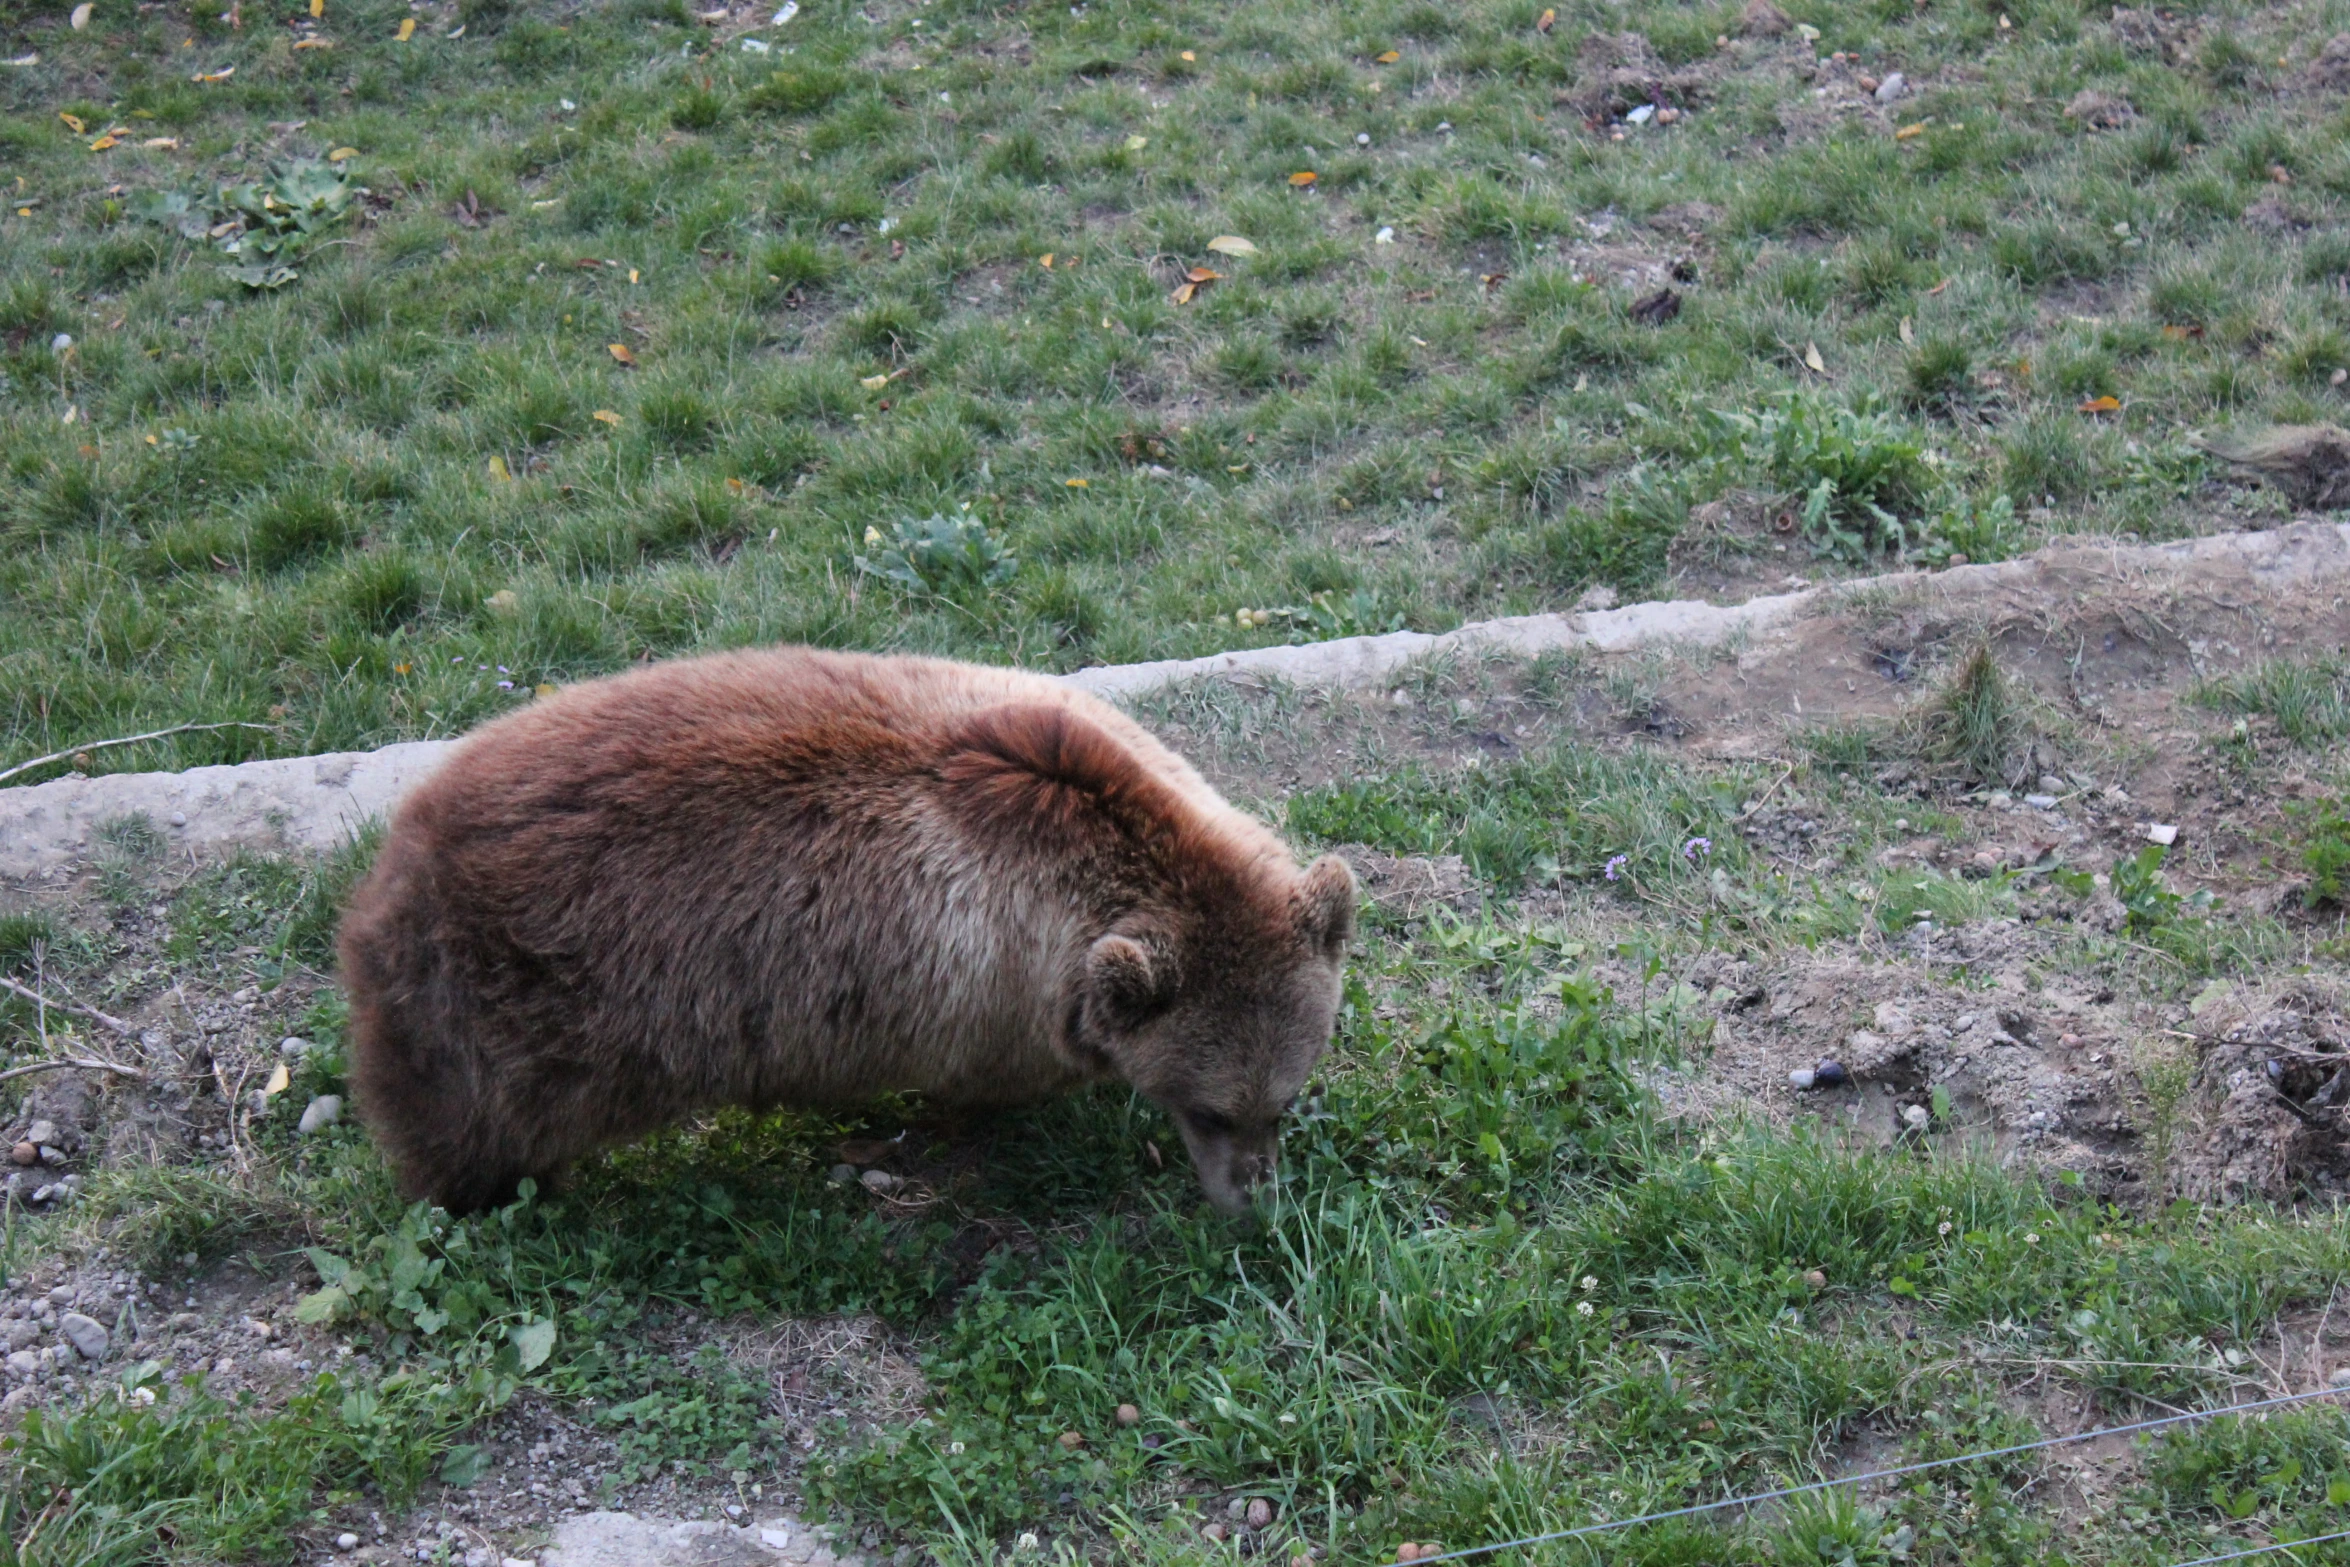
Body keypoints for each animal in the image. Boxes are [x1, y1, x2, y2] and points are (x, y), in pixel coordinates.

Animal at [333, 643, 1363, 1221]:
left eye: (1282, 1099)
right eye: (1210, 1108)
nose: (1254, 1200)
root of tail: (393, 857)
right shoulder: (978, 986)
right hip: (509, 1018)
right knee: (466, 1124)